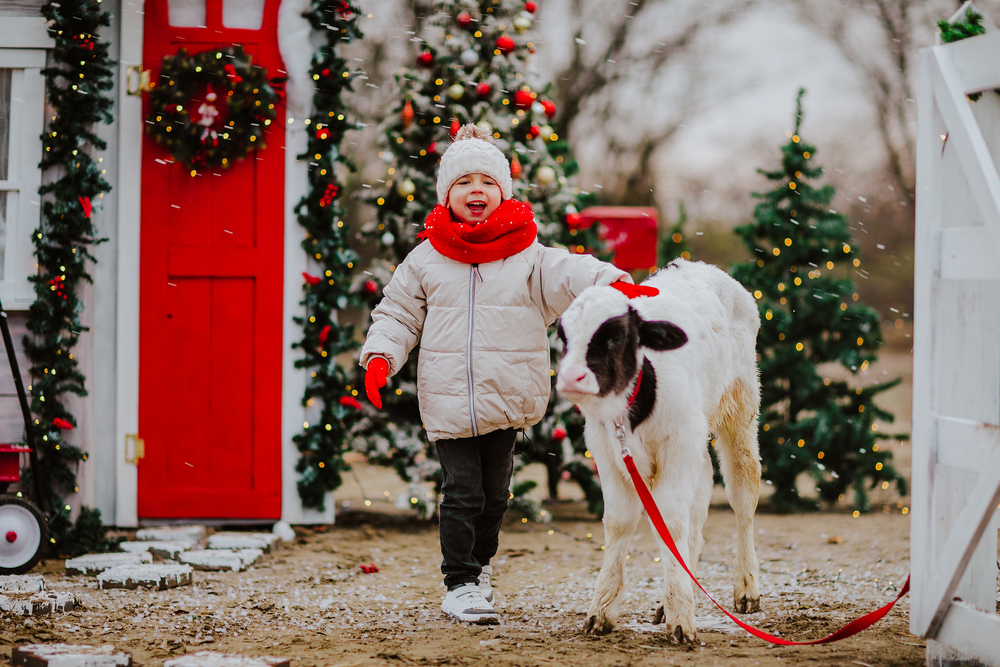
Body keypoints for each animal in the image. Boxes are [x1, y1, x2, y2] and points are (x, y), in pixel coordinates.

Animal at [560, 258, 760, 644]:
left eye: (617, 336)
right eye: (563, 338)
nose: (570, 377)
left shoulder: (677, 445)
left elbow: (668, 520)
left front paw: (681, 616)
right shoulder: (606, 450)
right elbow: (620, 521)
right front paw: (602, 610)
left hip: (740, 412)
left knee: (743, 497)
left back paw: (746, 588)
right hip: (696, 441)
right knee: (699, 503)